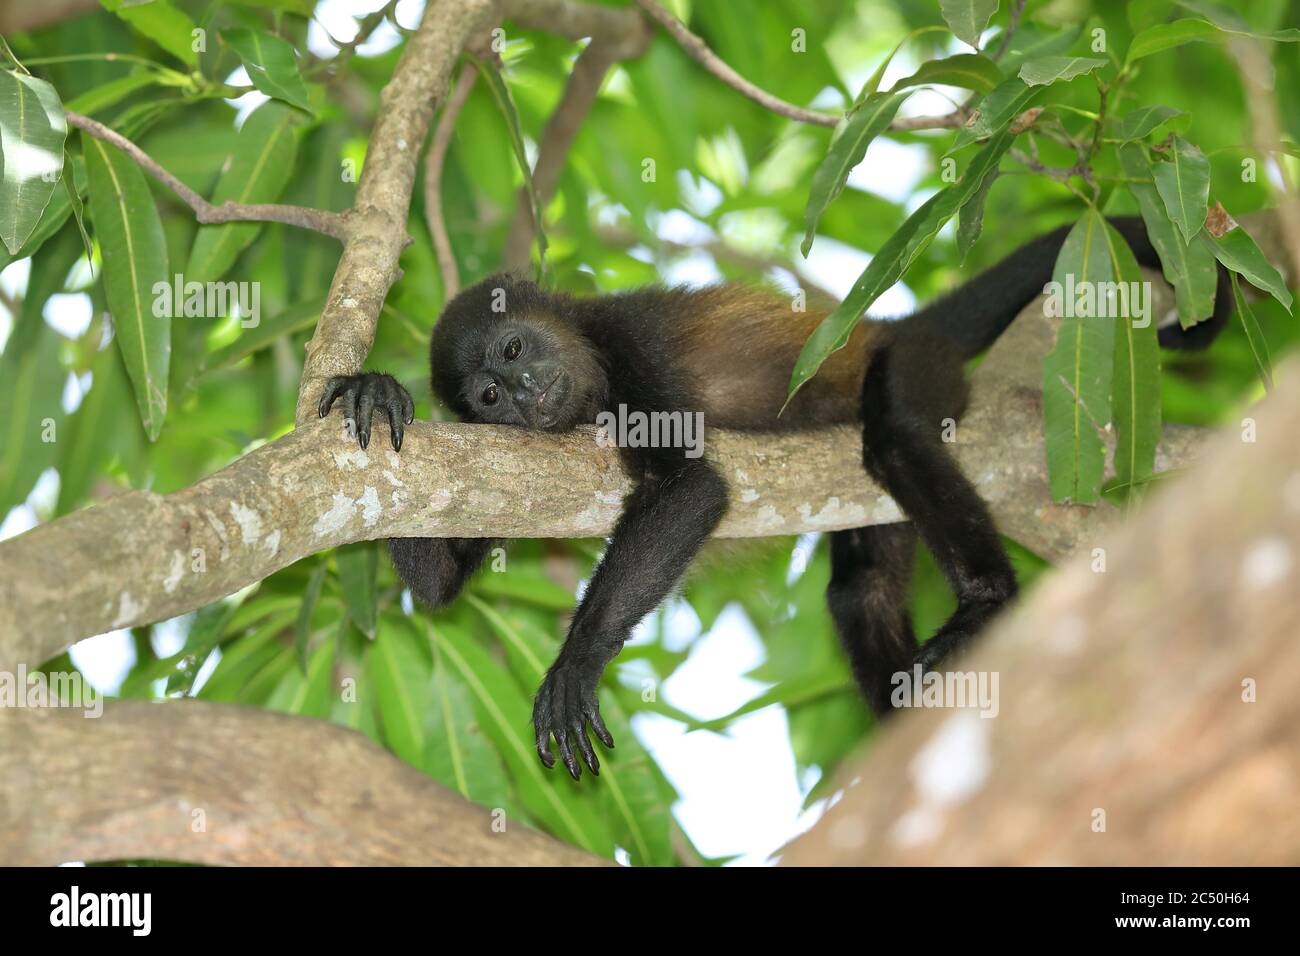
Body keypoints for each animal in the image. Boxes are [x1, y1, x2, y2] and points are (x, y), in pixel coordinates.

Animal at [314, 218, 1227, 785]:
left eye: (512, 349)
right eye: (487, 397)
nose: (528, 390)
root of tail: (893, 325)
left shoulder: (628, 346)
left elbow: (693, 485)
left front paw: (576, 661)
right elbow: (441, 587)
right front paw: (378, 389)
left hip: (920, 363)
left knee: (896, 433)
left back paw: (988, 598)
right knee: (859, 590)